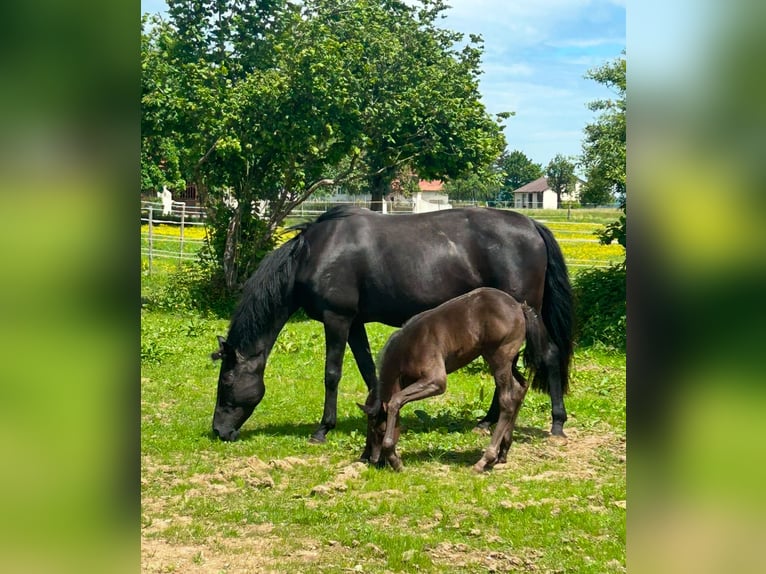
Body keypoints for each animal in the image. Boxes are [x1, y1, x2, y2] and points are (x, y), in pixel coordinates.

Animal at [213, 207, 572, 446]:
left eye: (226, 382)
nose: (219, 431)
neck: (312, 254)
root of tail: (531, 225)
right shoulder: (355, 323)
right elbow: (368, 370)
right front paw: (377, 412)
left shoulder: (337, 319)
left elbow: (332, 374)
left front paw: (323, 429)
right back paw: (488, 421)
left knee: (548, 356)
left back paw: (556, 422)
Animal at [360, 288, 544, 472]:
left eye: (379, 431)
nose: (373, 459)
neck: (408, 348)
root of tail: (519, 307)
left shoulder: (436, 381)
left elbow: (395, 401)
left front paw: (394, 459)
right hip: (505, 361)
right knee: (520, 389)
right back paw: (503, 452)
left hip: (499, 358)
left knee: (507, 401)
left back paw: (485, 460)